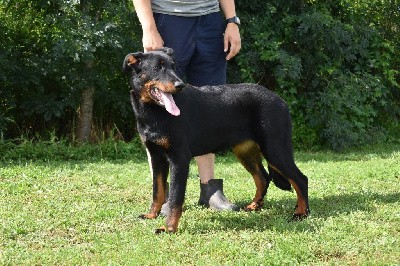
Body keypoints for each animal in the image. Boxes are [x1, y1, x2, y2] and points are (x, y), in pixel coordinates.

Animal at [123, 47, 310, 233]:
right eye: (157, 68)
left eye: (173, 67)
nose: (179, 85)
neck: (154, 111)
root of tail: (281, 101)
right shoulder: (157, 157)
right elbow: (158, 191)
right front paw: (152, 215)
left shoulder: (179, 158)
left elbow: (175, 197)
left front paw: (169, 228)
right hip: (245, 151)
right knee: (263, 177)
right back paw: (254, 206)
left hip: (275, 149)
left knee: (300, 179)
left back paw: (301, 213)